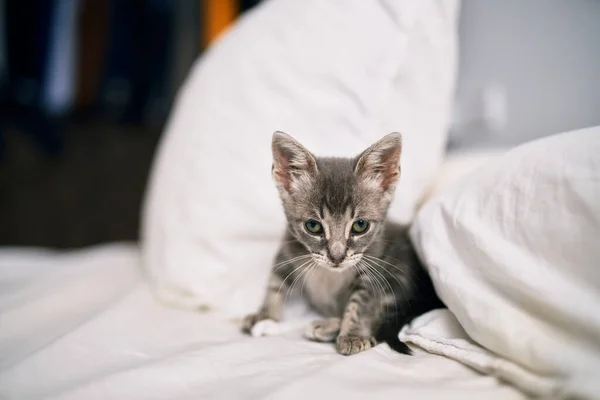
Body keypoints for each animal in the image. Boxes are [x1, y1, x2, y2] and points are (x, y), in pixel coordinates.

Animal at [241, 132, 442, 356]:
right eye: (313, 226)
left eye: (360, 225)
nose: (336, 257)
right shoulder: (287, 251)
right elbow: (275, 284)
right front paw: (265, 315)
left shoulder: (375, 267)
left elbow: (362, 303)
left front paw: (353, 335)